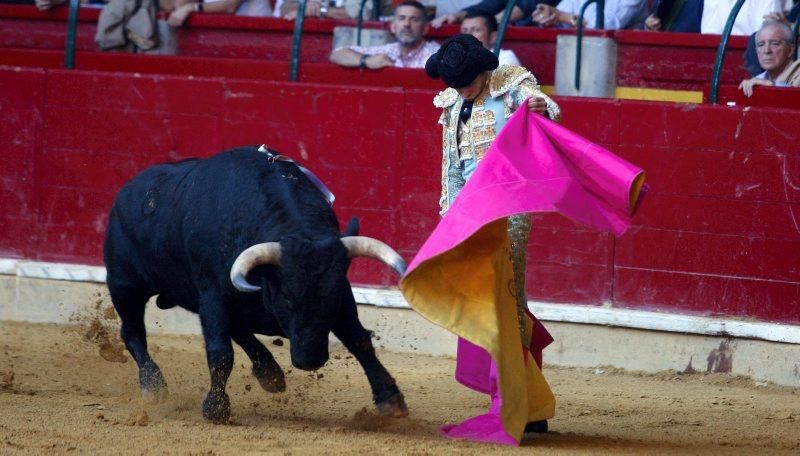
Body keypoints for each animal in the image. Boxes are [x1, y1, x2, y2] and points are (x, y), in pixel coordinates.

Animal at [101, 148, 406, 422]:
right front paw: (215, 408)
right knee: (132, 333)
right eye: (287, 298)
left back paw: (270, 373)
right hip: (124, 287)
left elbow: (359, 340)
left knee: (240, 330)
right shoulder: (212, 296)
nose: (310, 360)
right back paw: (153, 386)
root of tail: (125, 193)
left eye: (330, 297)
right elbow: (220, 353)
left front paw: (390, 399)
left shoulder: (343, 297)